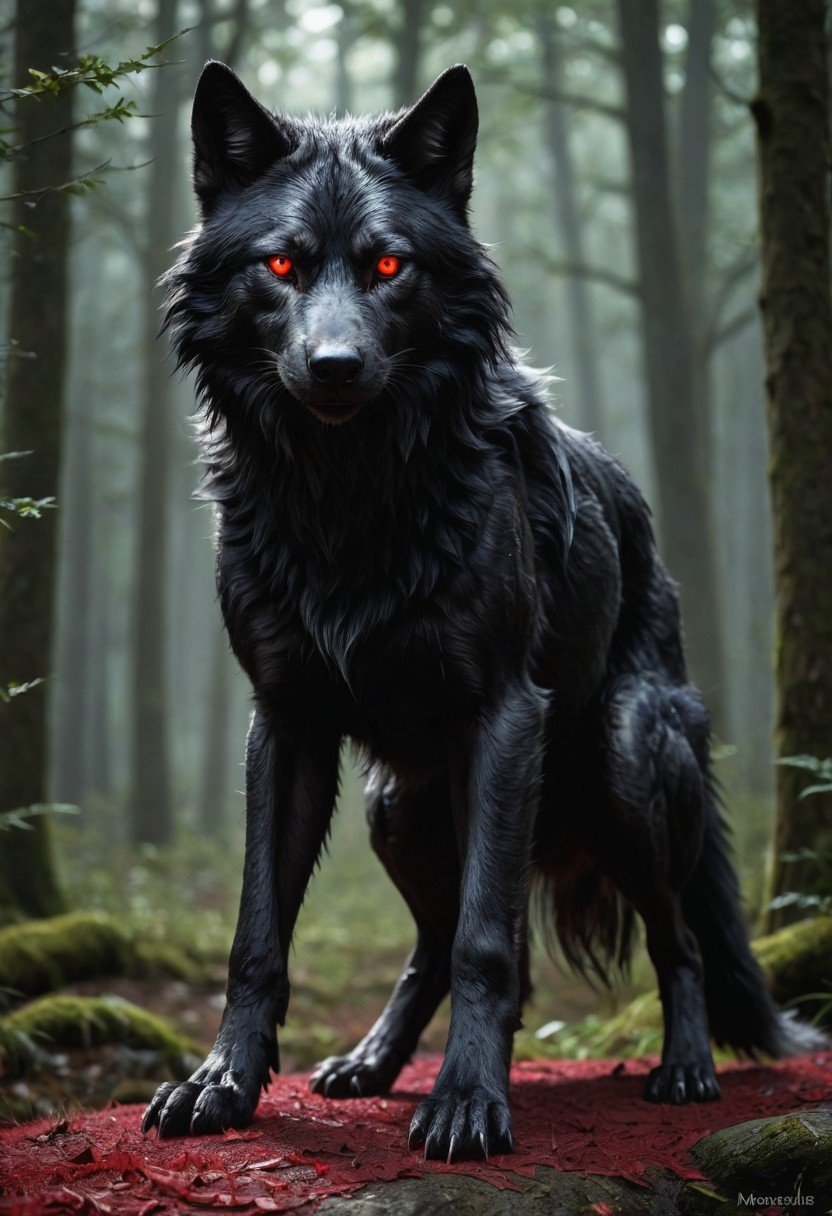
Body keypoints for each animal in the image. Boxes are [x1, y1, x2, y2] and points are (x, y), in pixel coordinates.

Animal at [142, 61, 812, 1161]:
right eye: (281, 264)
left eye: (388, 264)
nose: (334, 367)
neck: (348, 495)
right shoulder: (283, 724)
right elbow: (257, 934)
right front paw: (222, 1082)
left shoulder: (503, 714)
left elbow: (489, 942)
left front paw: (466, 1101)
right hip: (397, 809)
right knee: (429, 943)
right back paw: (371, 1063)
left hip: (620, 769)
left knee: (669, 937)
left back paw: (684, 1068)